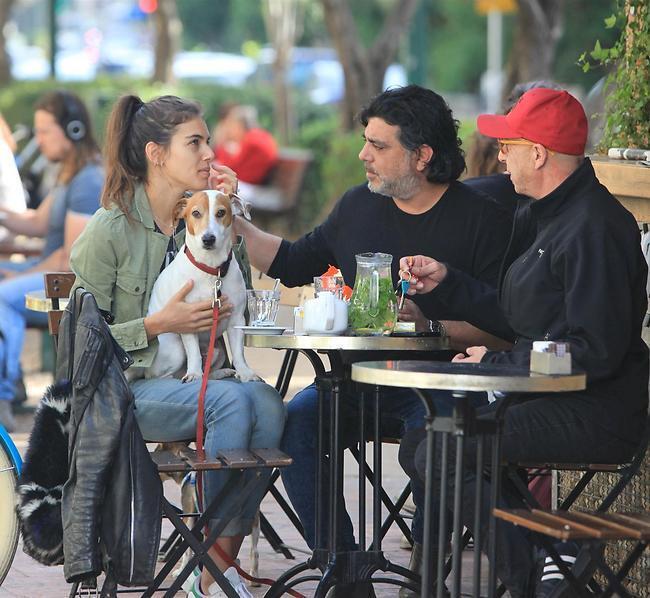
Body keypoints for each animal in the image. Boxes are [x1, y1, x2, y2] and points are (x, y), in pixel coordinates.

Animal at [147, 189, 258, 384]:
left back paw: (221, 372)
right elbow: (194, 354)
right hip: (175, 350)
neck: (212, 270)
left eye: (221, 212)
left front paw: (245, 372)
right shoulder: (188, 321)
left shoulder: (236, 319)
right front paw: (194, 373)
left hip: (218, 349)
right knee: (158, 375)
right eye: (196, 213)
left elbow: (238, 353)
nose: (208, 239)